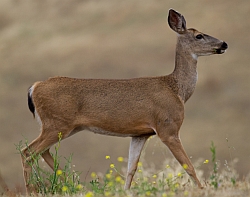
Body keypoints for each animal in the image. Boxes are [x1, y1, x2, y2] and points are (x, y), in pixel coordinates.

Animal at [21, 8, 228, 193]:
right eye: (199, 36)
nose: (224, 44)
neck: (178, 90)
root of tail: (34, 87)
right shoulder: (167, 127)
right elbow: (188, 166)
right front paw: (202, 188)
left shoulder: (140, 134)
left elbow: (131, 169)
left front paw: (126, 190)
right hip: (56, 123)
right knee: (28, 152)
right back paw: (34, 190)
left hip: (63, 126)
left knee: (41, 152)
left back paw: (71, 183)